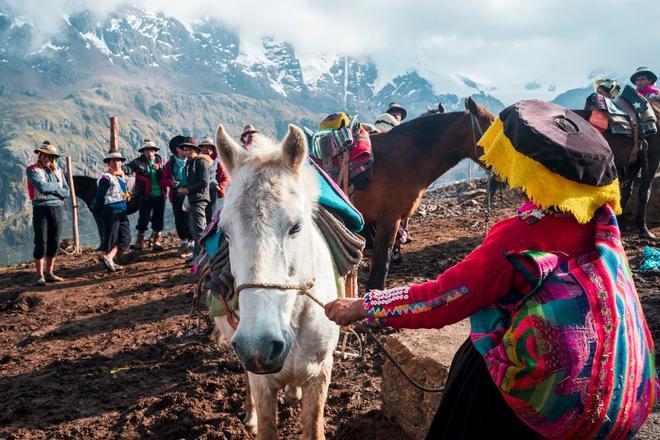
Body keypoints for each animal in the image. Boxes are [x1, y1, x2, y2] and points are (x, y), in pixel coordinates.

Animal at [214, 124, 342, 440]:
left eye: (296, 226)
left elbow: (313, 426)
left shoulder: (321, 372)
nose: (258, 347)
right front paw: (255, 418)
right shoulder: (262, 380)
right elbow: (267, 425)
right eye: (225, 232)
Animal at [568, 111, 656, 241]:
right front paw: (644, 229)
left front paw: (620, 220)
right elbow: (644, 192)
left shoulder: (635, 160)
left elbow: (626, 190)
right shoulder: (651, 158)